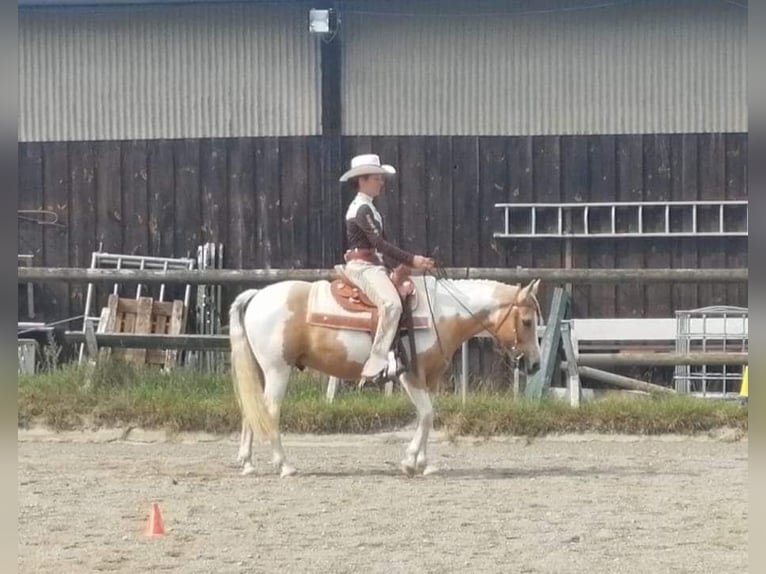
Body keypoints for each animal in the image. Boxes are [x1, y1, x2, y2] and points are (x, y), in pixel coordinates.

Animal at [231, 276, 544, 480]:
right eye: (527, 321)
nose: (536, 365)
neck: (439, 313)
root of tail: (257, 295)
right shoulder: (410, 377)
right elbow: (427, 414)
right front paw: (409, 462)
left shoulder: (429, 378)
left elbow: (427, 417)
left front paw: (423, 463)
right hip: (277, 370)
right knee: (270, 412)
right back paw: (284, 466)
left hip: (261, 371)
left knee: (252, 411)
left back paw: (247, 463)